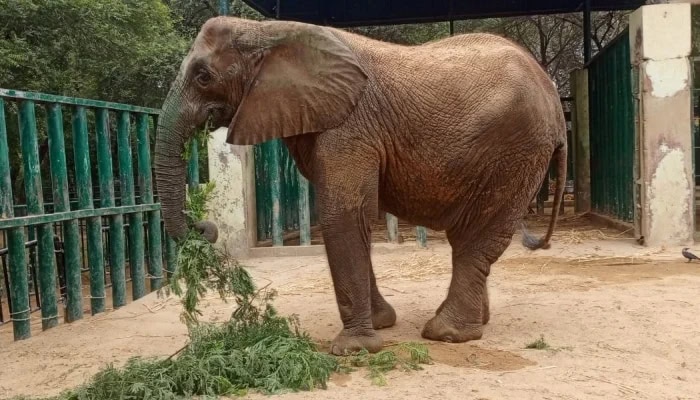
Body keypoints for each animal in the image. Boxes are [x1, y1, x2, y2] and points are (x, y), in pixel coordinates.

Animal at [154, 16, 567, 356]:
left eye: (203, 76)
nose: (206, 228)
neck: (266, 30)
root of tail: (553, 97)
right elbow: (355, 220)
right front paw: (382, 323)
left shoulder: (350, 126)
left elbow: (343, 216)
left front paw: (353, 350)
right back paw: (475, 322)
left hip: (517, 150)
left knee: (476, 238)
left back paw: (446, 334)